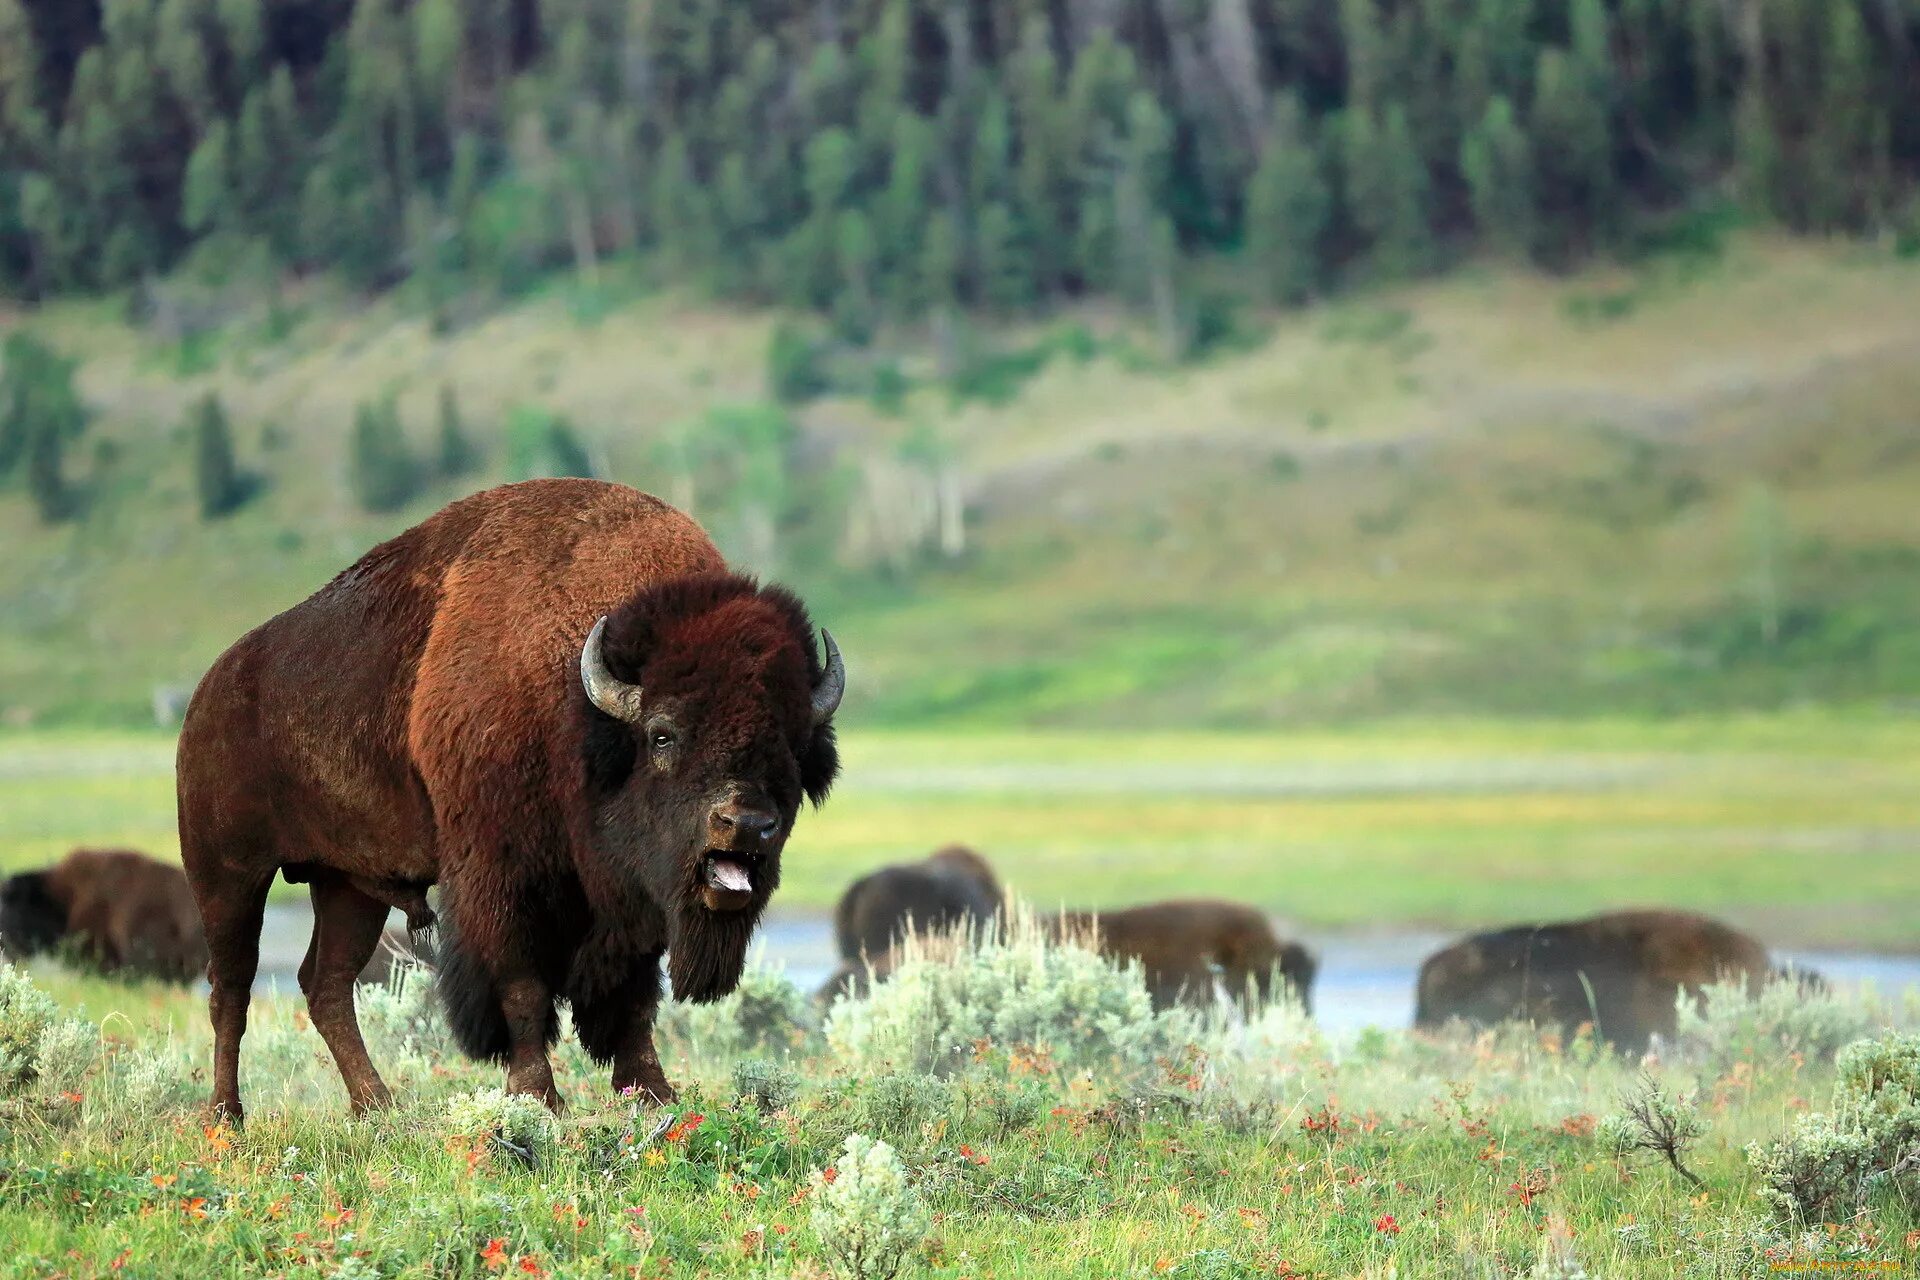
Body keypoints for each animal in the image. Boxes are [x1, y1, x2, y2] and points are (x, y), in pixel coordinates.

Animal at [178, 479, 840, 1120]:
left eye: (793, 743)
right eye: (662, 733)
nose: (746, 823)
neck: (579, 710)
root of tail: (210, 689)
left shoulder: (634, 906)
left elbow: (634, 997)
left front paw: (653, 1092)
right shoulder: (503, 878)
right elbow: (521, 984)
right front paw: (537, 1095)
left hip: (345, 884)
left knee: (327, 985)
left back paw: (377, 1108)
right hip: (229, 876)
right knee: (232, 988)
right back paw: (227, 1115)